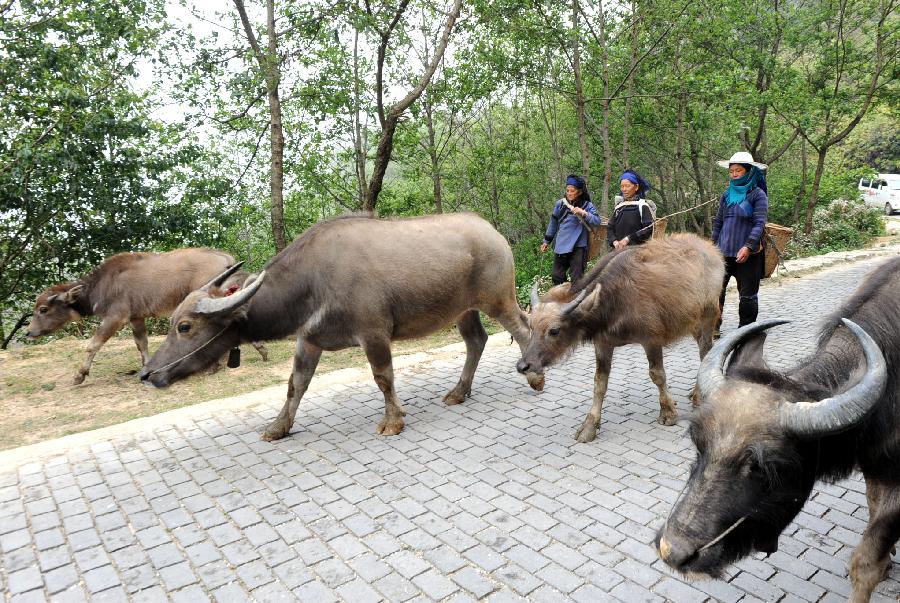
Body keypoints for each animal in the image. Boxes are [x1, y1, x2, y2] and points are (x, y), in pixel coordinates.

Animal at [24, 249, 268, 382]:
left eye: (43, 309)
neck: (102, 285)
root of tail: (224, 257)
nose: (29, 332)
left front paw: (80, 375)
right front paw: (147, 367)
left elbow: (93, 344)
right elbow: (142, 344)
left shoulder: (116, 317)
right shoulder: (136, 318)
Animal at [139, 215, 536, 442]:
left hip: (498, 300)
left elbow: (383, 377)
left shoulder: (374, 334)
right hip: (463, 310)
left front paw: (393, 421)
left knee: (523, 330)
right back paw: (458, 392)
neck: (314, 282)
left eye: (185, 326)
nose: (148, 373)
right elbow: (295, 385)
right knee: (476, 341)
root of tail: (492, 232)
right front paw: (278, 427)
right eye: (173, 323)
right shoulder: (308, 340)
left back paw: (534, 378)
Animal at [516, 236, 720, 444]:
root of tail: (710, 248)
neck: (614, 298)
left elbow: (657, 375)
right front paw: (589, 426)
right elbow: (599, 383)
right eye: (531, 326)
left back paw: (698, 397)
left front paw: (668, 412)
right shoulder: (603, 344)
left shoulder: (652, 340)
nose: (523, 366)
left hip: (709, 315)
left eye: (554, 330)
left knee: (705, 351)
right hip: (692, 322)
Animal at [652, 256, 900, 603]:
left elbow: (865, 563)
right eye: (698, 444)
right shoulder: (875, 466)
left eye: (764, 468)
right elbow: (873, 507)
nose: (672, 551)